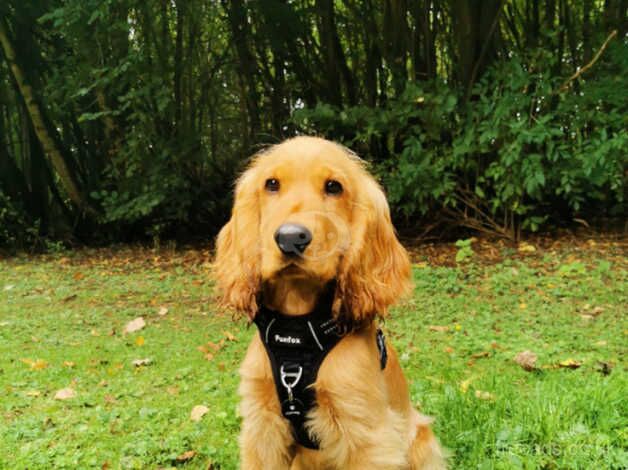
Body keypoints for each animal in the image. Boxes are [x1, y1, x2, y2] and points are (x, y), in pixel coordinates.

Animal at [216, 137, 446, 470]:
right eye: (271, 184)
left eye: (334, 187)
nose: (290, 238)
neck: (298, 331)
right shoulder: (262, 426)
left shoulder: (367, 434)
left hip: (420, 439)